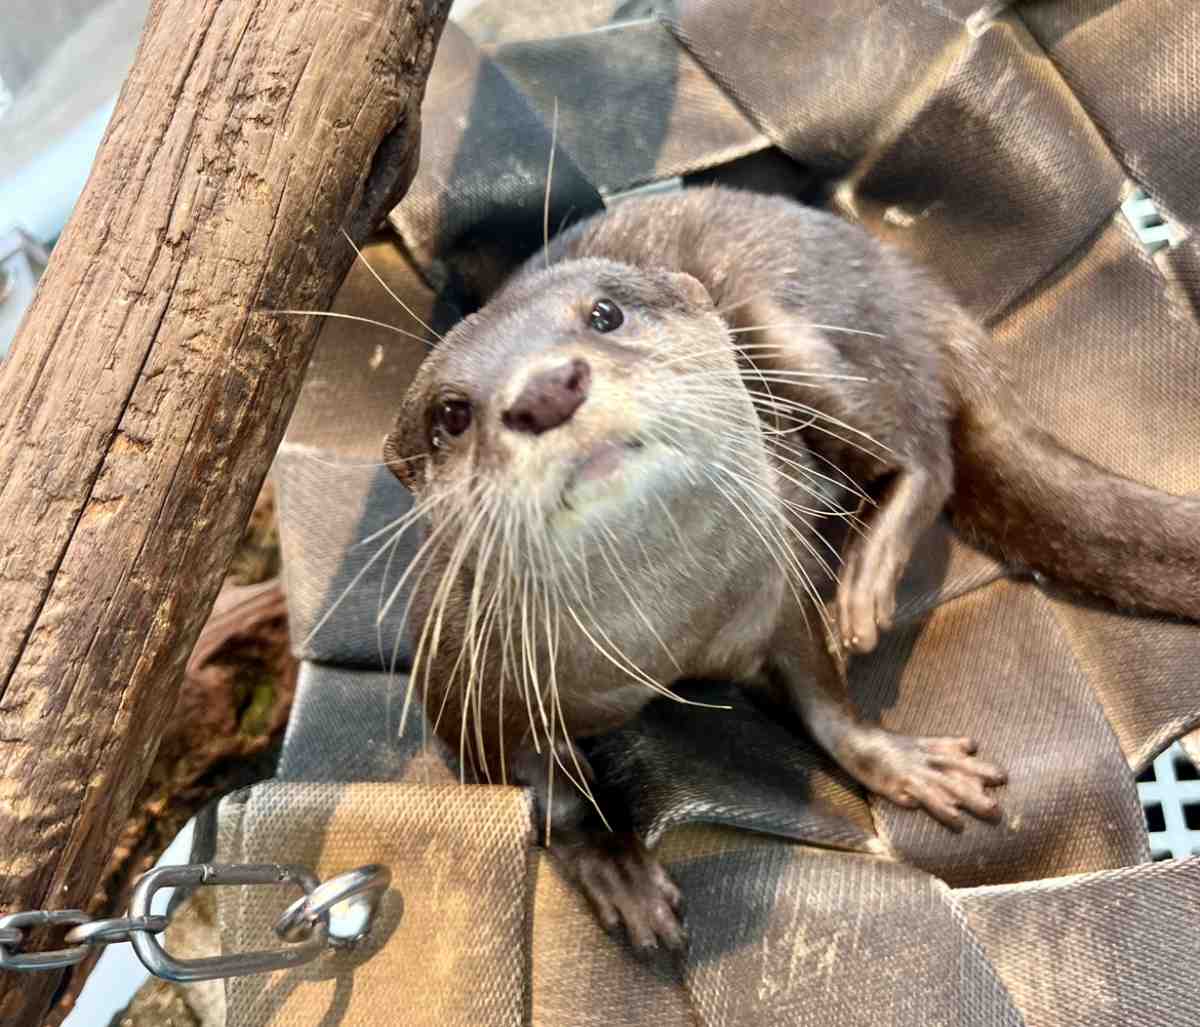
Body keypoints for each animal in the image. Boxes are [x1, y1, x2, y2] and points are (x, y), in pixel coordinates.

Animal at [381, 185, 1200, 955]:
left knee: (925, 449)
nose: (546, 388)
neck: (667, 637)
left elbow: (825, 696)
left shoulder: (781, 590)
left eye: (604, 314)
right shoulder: (465, 690)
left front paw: (900, 761)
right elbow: (543, 798)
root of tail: (903, 278)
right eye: (451, 414)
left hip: (784, 323)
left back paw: (866, 583)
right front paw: (616, 868)